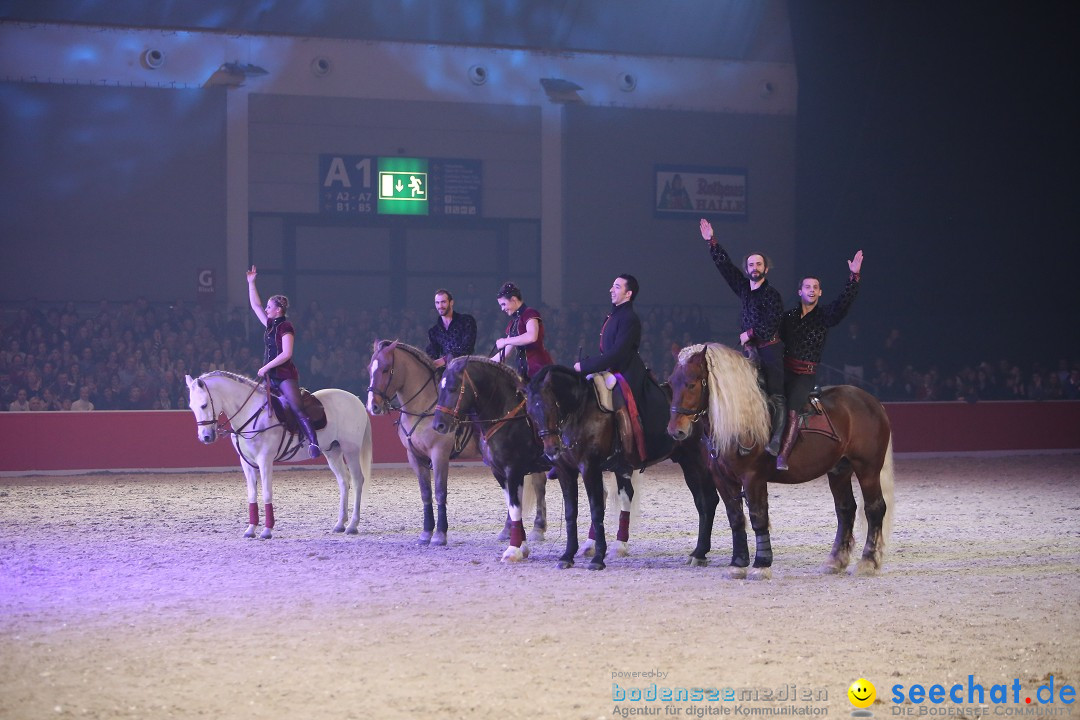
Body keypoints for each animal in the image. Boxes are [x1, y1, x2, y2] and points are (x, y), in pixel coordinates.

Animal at [183, 375, 373, 537]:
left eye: (204, 405)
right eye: (192, 407)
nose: (206, 437)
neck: (251, 414)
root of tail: (355, 400)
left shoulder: (265, 460)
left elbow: (267, 493)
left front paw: (267, 531)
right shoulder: (247, 463)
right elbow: (252, 494)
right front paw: (250, 529)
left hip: (351, 450)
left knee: (357, 480)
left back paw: (352, 525)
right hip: (332, 452)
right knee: (343, 481)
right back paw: (340, 524)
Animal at [427, 358, 552, 561]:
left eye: (453, 388)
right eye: (440, 387)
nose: (439, 424)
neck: (507, 417)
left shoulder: (513, 470)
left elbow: (515, 508)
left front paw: (513, 550)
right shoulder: (500, 473)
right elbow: (513, 507)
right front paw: (521, 546)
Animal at [665, 343, 894, 578]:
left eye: (691, 384)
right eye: (671, 384)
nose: (676, 430)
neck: (741, 421)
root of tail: (872, 402)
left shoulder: (753, 477)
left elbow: (758, 517)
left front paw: (761, 564)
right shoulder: (723, 479)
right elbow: (736, 518)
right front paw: (738, 563)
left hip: (867, 469)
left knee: (874, 509)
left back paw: (868, 561)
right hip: (839, 470)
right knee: (845, 509)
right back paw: (835, 561)